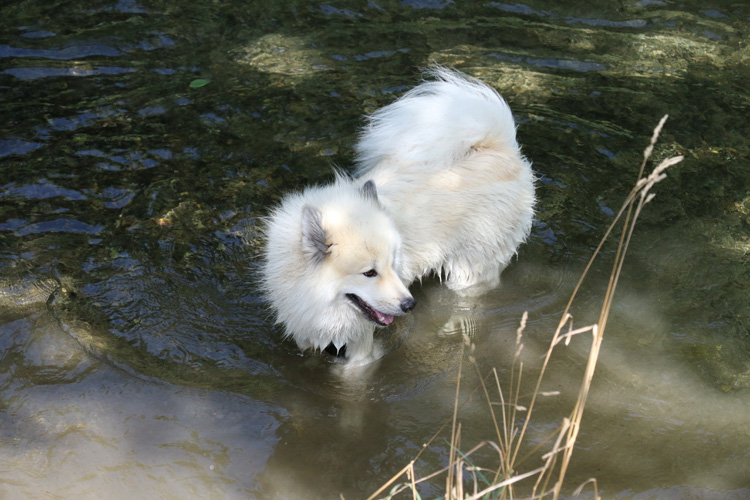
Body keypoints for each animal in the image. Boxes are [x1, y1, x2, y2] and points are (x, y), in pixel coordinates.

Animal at [262, 66, 536, 366]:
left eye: (393, 264)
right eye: (369, 273)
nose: (409, 305)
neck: (315, 293)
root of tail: (500, 146)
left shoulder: (361, 347)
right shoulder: (306, 332)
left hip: (470, 267)